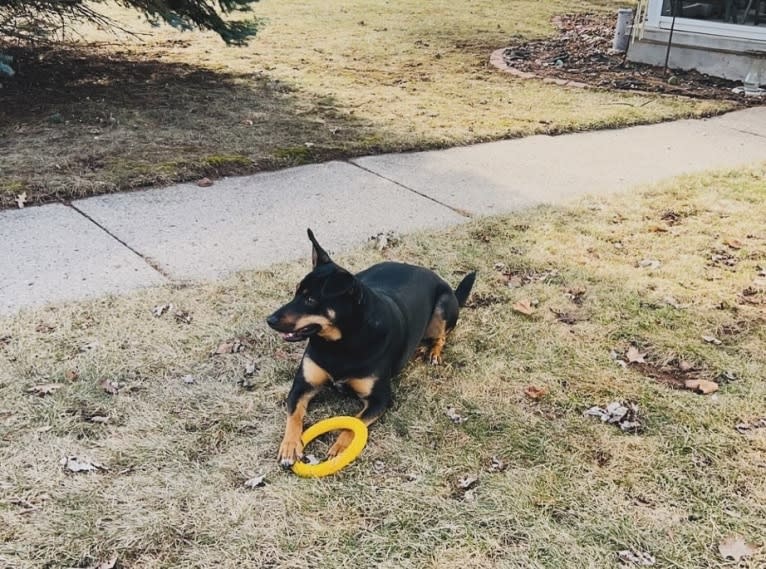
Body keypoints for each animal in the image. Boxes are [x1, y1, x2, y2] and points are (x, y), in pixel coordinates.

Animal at [268, 227, 476, 466]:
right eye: (295, 292)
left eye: (310, 299)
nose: (269, 320)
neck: (340, 344)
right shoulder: (302, 386)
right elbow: (294, 416)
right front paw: (290, 446)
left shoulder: (380, 399)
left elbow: (354, 422)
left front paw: (340, 447)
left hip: (443, 308)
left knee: (442, 336)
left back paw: (433, 352)